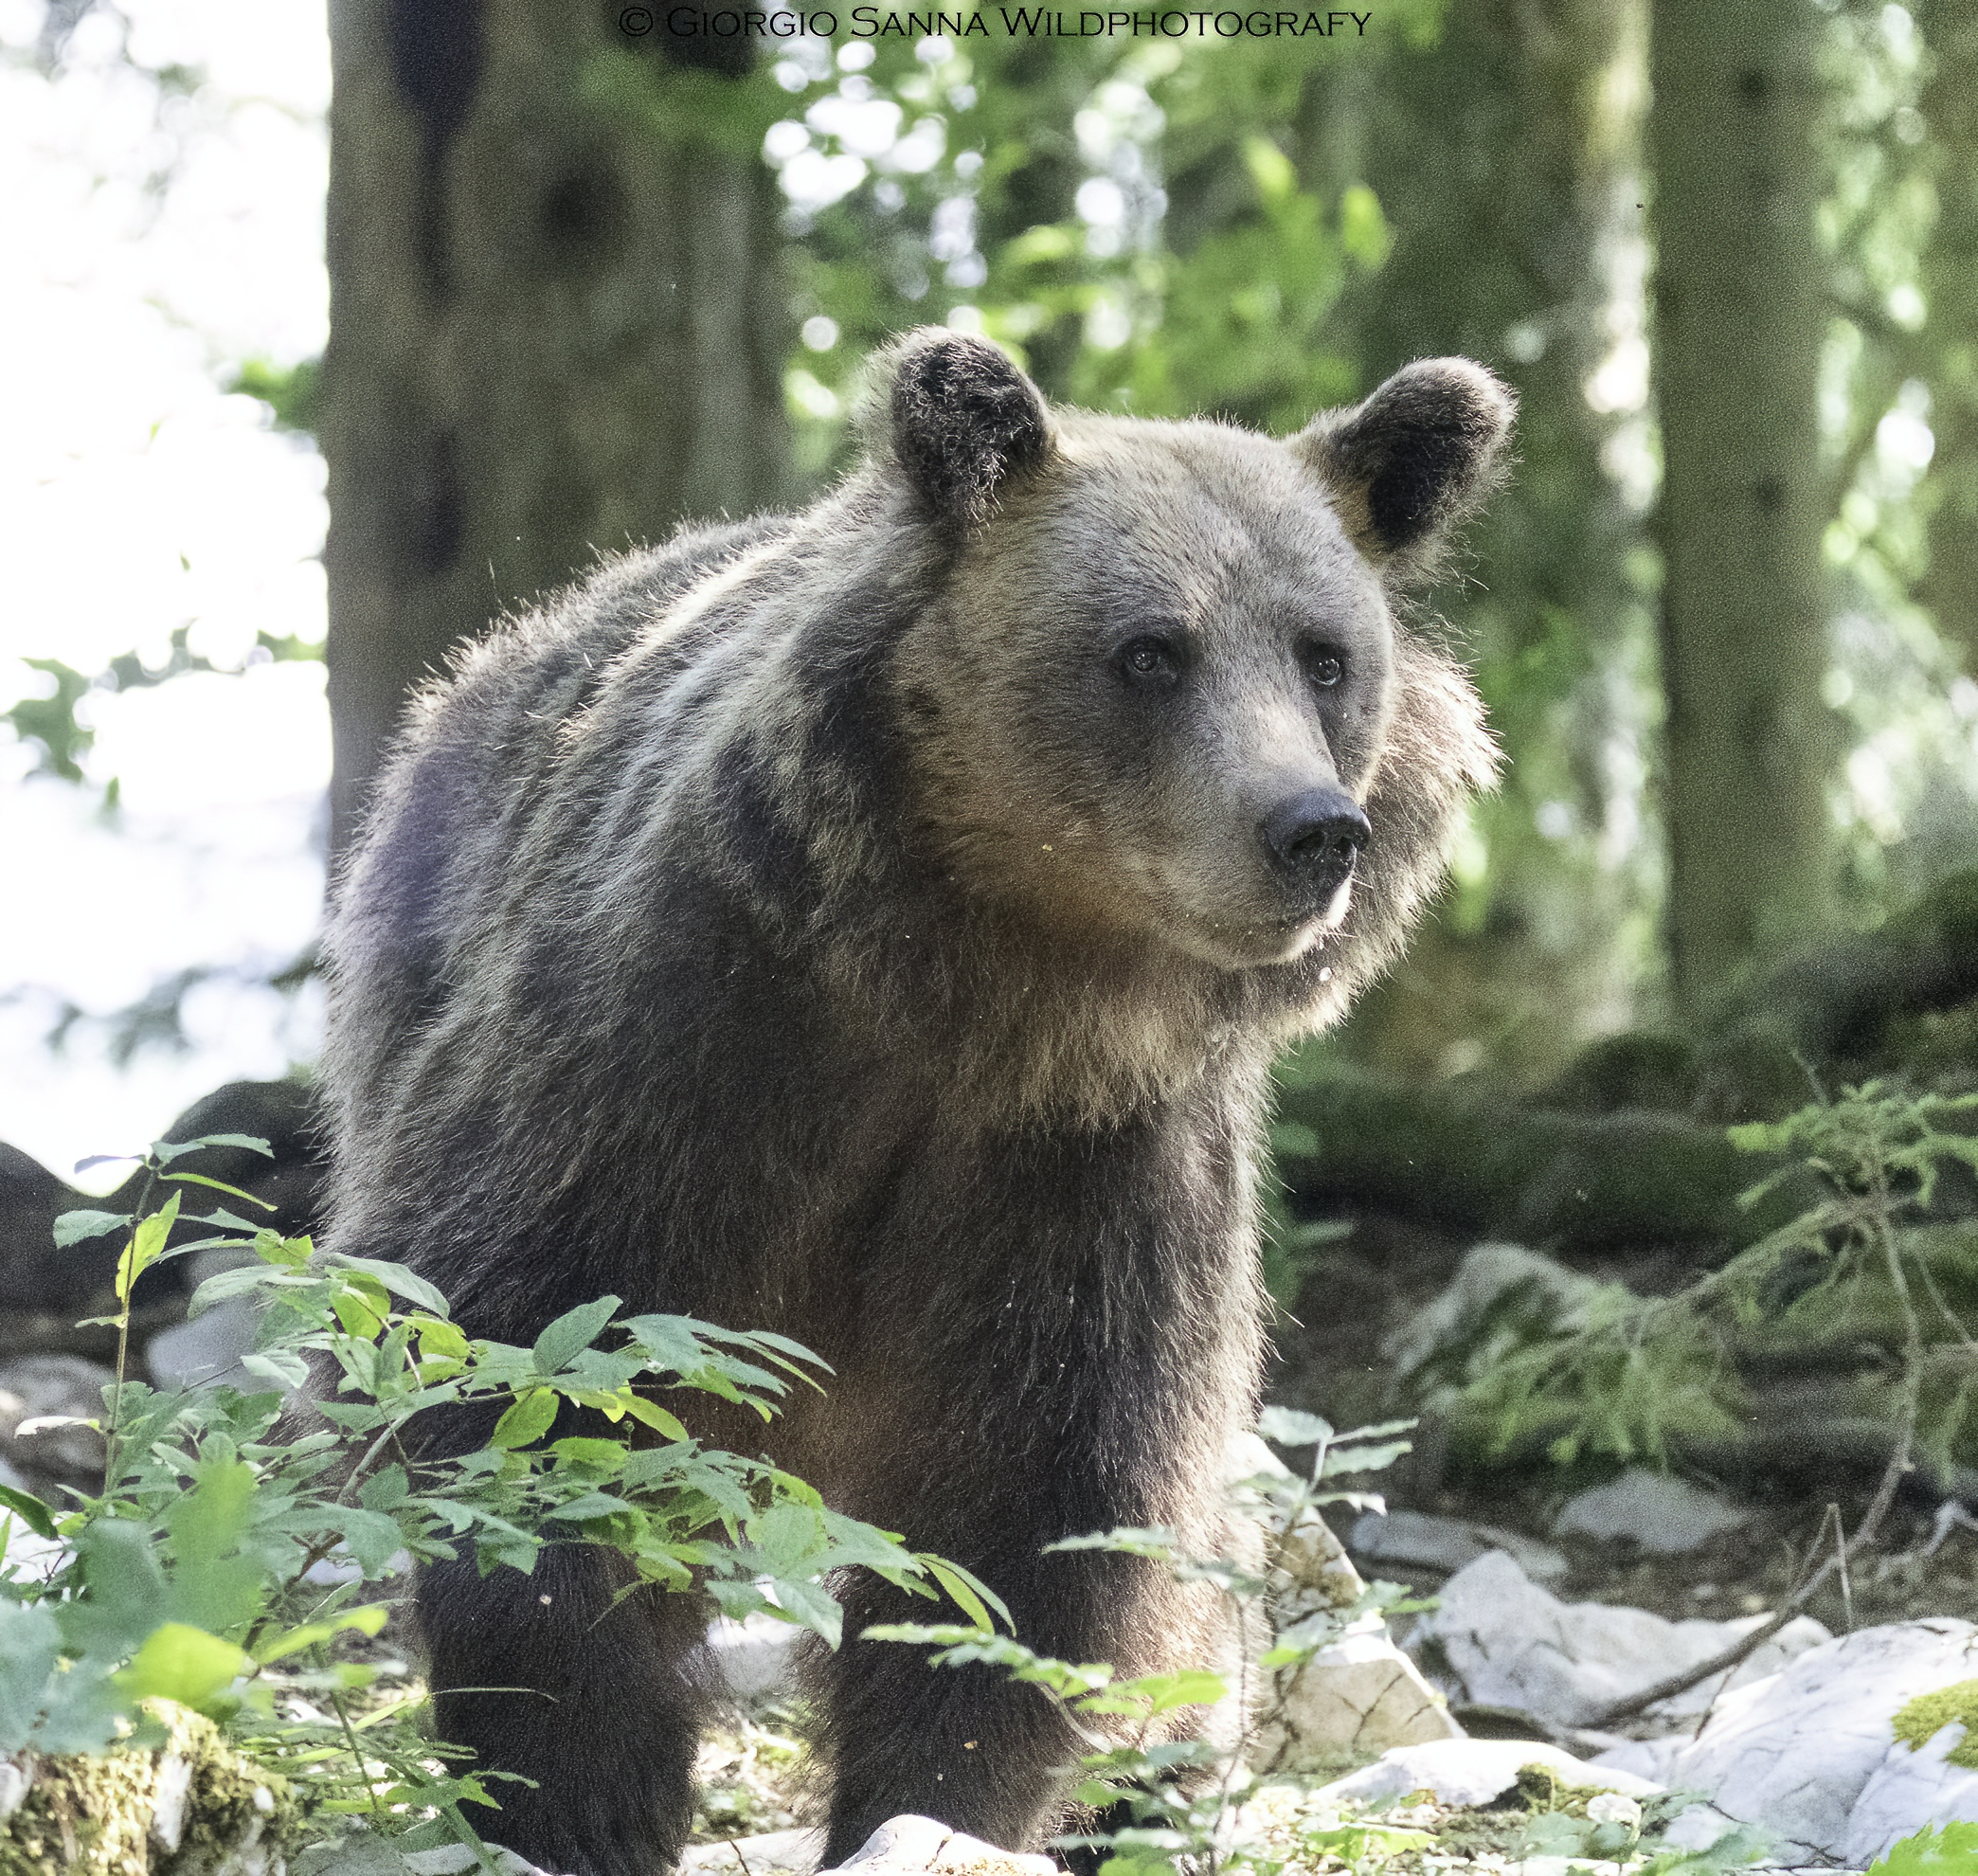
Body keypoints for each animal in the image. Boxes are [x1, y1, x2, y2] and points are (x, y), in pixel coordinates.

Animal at [319, 329, 1511, 1876]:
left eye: (1326, 656)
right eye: (1151, 650)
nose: (1313, 830)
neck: (980, 989)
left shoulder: (1084, 1163)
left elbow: (1031, 1517)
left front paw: (934, 1805)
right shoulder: (677, 1053)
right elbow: (537, 1385)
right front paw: (578, 1796)